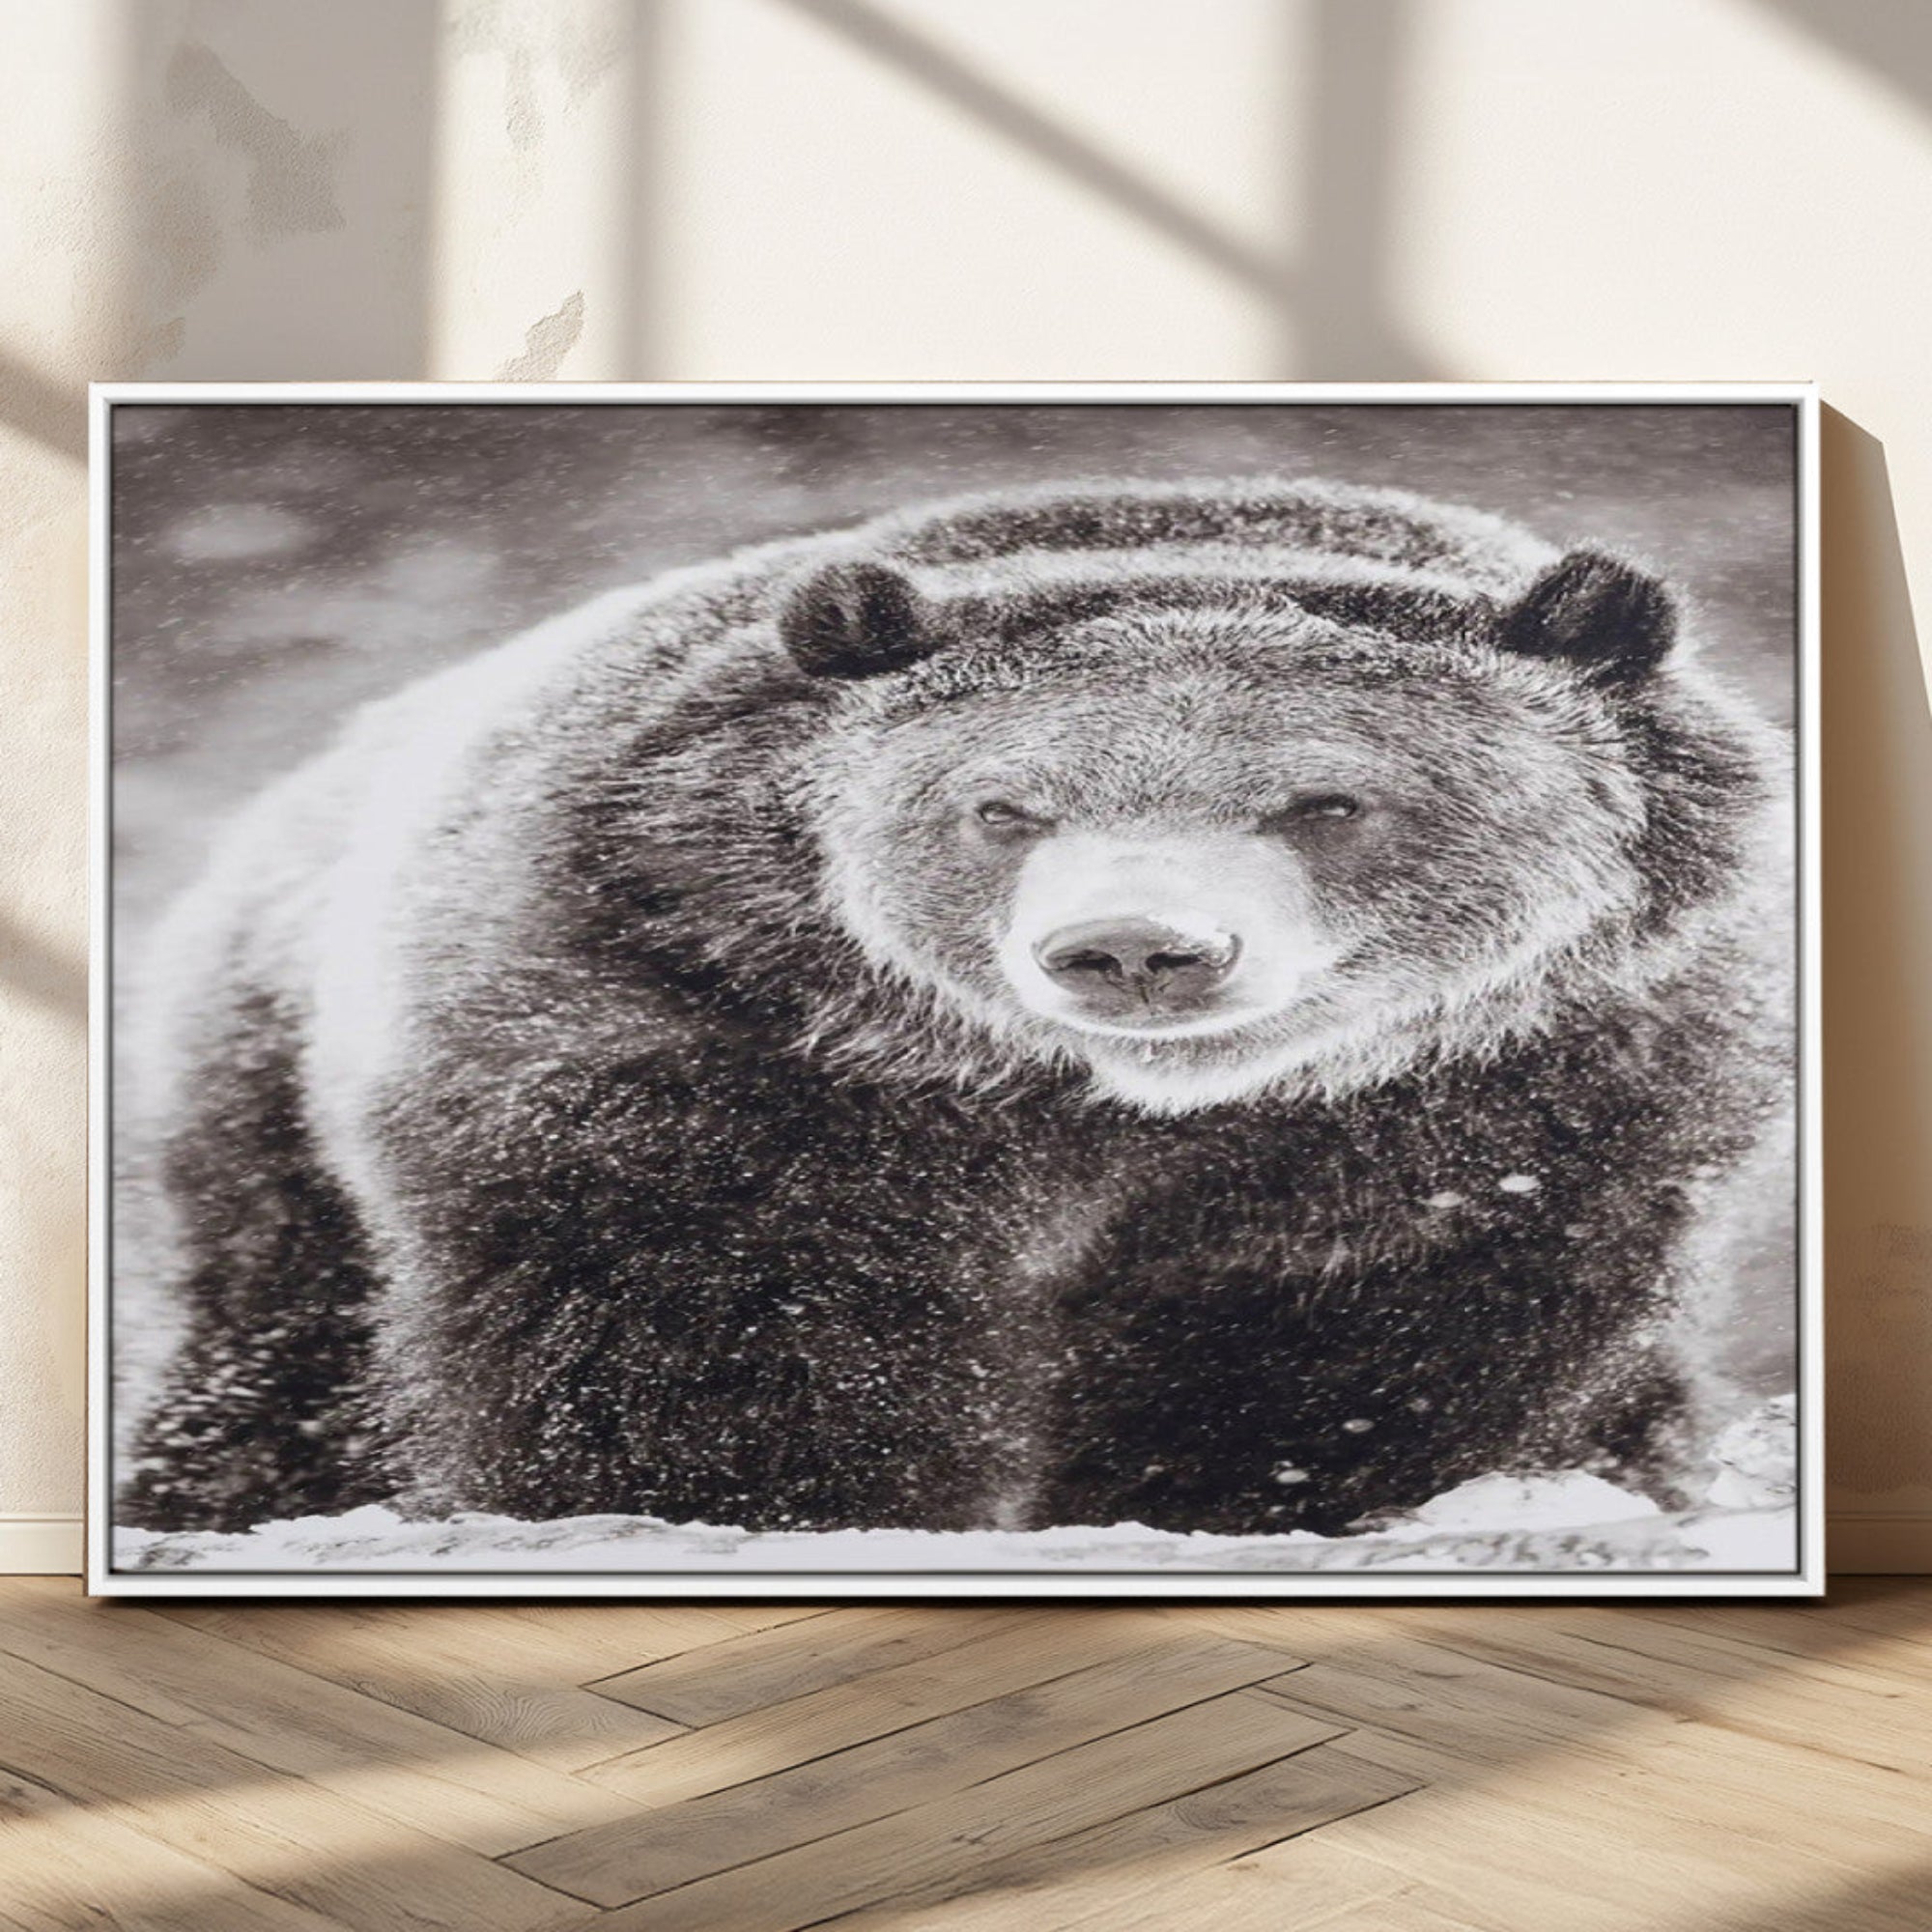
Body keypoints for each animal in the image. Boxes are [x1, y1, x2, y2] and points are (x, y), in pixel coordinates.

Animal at [117, 476, 1794, 1541]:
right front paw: (764, 1498)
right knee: (284, 1347)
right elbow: (707, 1316)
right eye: (1005, 805)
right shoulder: (693, 1018)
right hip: (264, 1091)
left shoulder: (1523, 1088)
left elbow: (1366, 1341)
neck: (1106, 1113)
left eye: (1328, 799)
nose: (1136, 949)